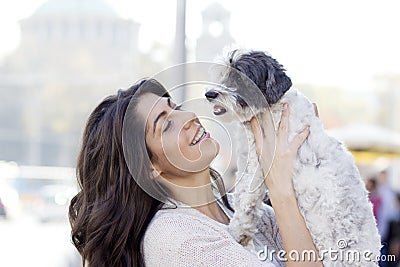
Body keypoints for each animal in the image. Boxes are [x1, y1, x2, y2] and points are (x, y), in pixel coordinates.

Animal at [206, 49, 382, 266]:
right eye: (223, 74)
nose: (209, 94)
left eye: (240, 77)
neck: (273, 106)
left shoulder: (255, 161)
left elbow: (245, 198)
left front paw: (236, 231)